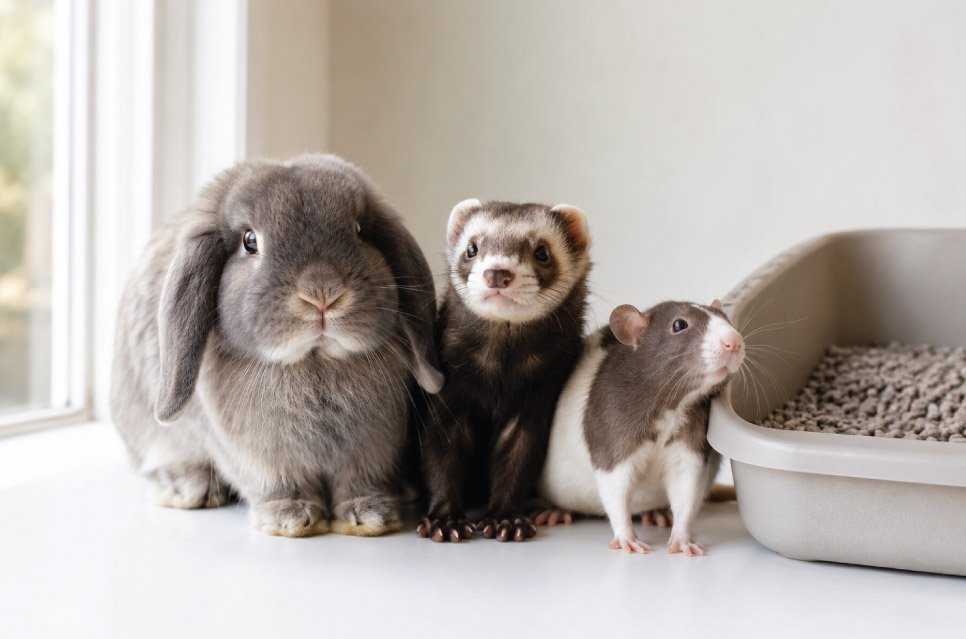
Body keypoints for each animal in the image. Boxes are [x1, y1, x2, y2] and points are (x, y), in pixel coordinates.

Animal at [110, 154, 444, 538]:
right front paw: (289, 518)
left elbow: (361, 481)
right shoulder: (259, 458)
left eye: (359, 231)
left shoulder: (373, 449)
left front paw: (369, 515)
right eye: (250, 241)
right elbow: (278, 484)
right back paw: (189, 487)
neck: (314, 363)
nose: (322, 294)